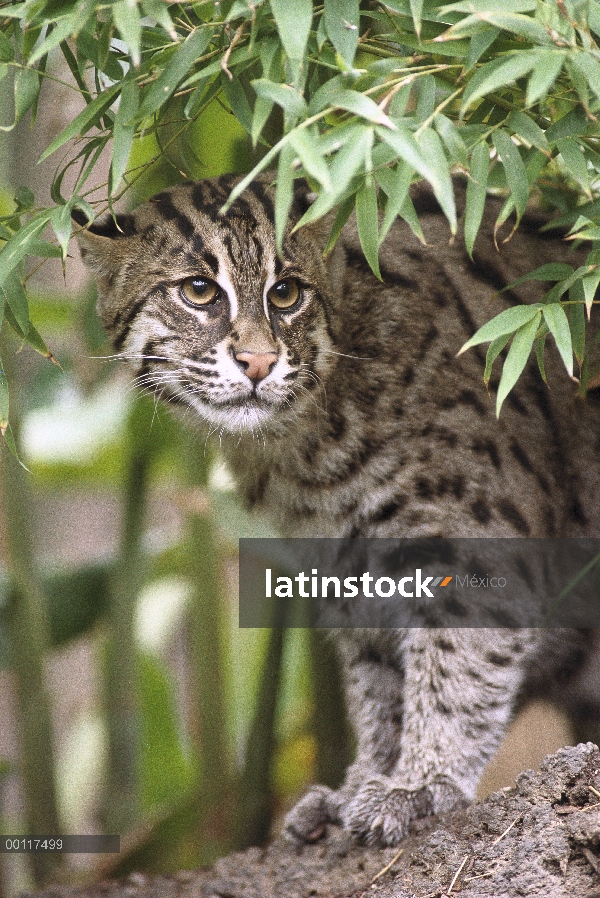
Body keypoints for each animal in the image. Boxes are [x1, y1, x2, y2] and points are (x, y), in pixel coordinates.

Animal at [74, 175, 600, 848]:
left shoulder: (477, 544)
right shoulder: (346, 564)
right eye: (198, 291)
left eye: (287, 294)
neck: (299, 449)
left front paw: (419, 783)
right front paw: (365, 781)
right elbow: (379, 687)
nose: (259, 363)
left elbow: (457, 664)